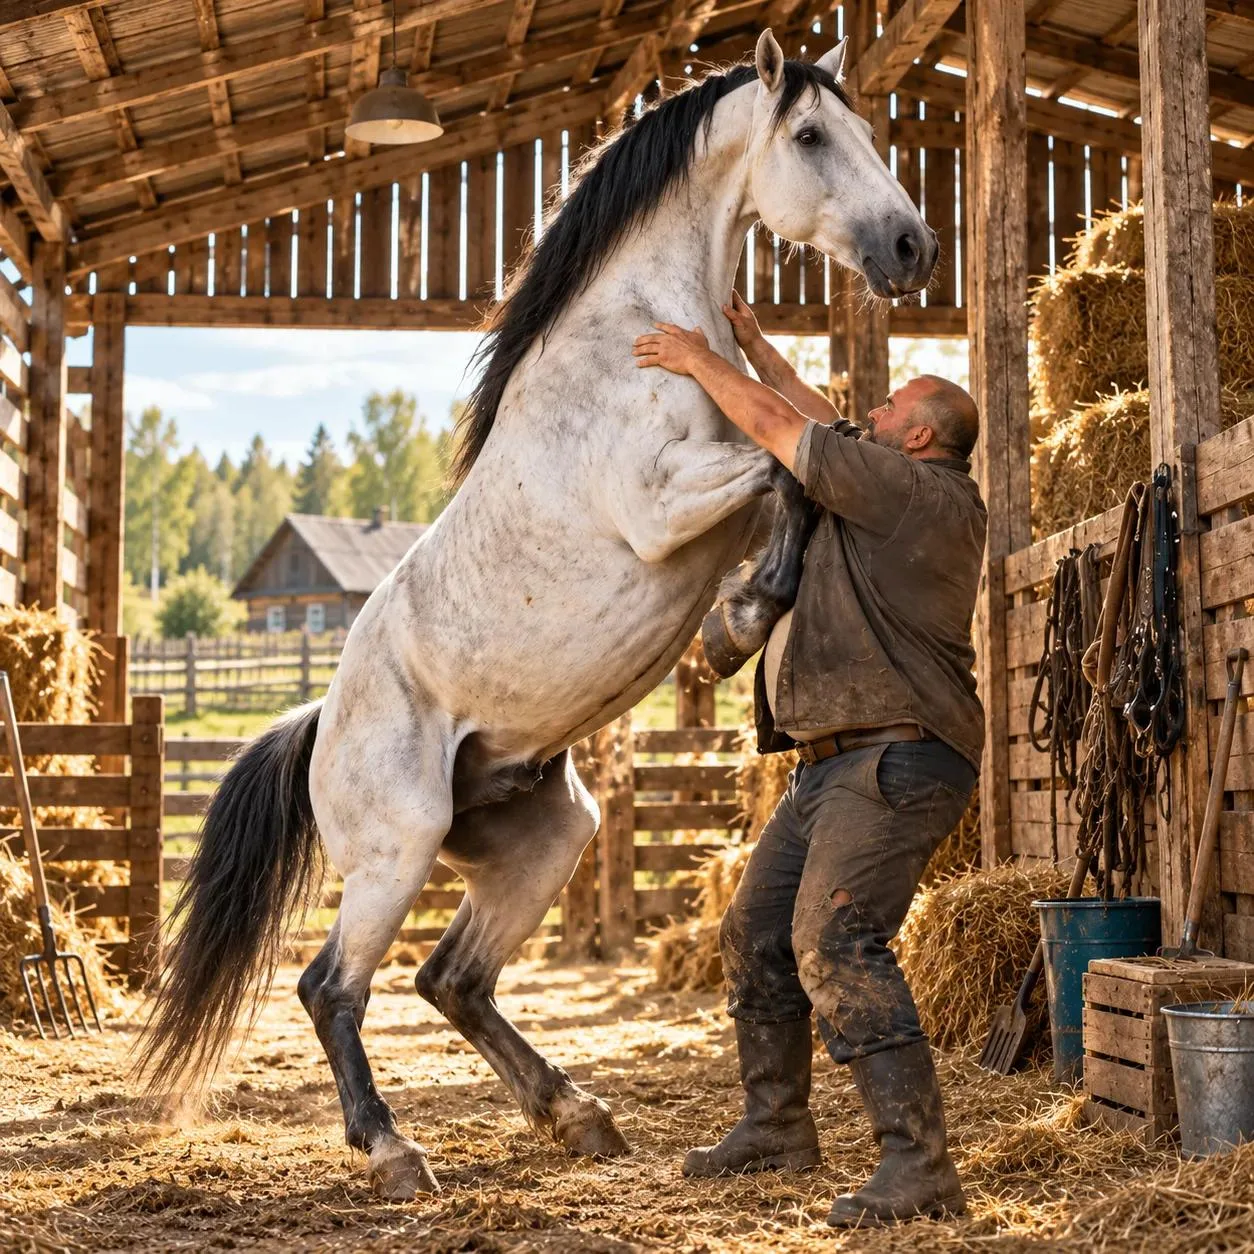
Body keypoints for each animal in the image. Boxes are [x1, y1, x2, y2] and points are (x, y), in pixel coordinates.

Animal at [139, 30, 937, 1201]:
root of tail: (320, 724)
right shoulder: (662, 506)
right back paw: (395, 1151)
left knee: (451, 979)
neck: (638, 337)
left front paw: (740, 620)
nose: (913, 246)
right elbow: (793, 466)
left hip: (545, 838)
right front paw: (741, 623)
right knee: (332, 987)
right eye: (808, 135)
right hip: (396, 852)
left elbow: (804, 463)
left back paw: (577, 1114)